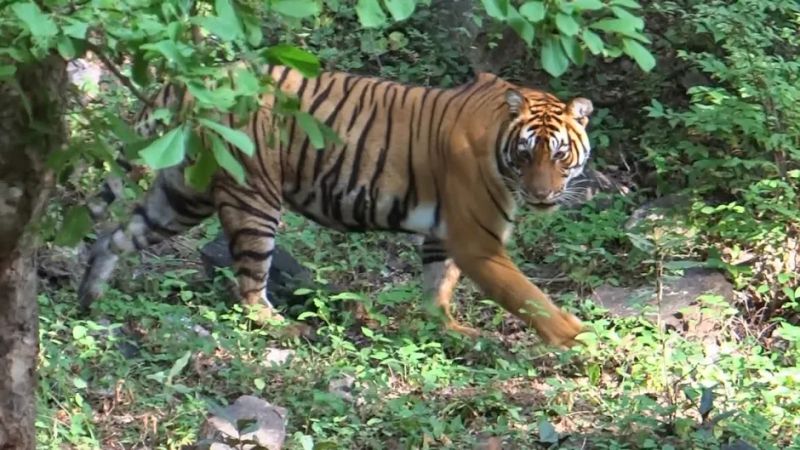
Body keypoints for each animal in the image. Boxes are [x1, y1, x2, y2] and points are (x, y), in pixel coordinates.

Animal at [78, 64, 594, 348]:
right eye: (526, 155)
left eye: (558, 155)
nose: (543, 195)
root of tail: (191, 81)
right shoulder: (477, 240)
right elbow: (530, 297)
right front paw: (579, 338)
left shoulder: (445, 235)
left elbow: (437, 285)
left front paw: (446, 328)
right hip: (253, 197)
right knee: (248, 288)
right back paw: (286, 328)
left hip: (182, 194)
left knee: (116, 235)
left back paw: (91, 297)